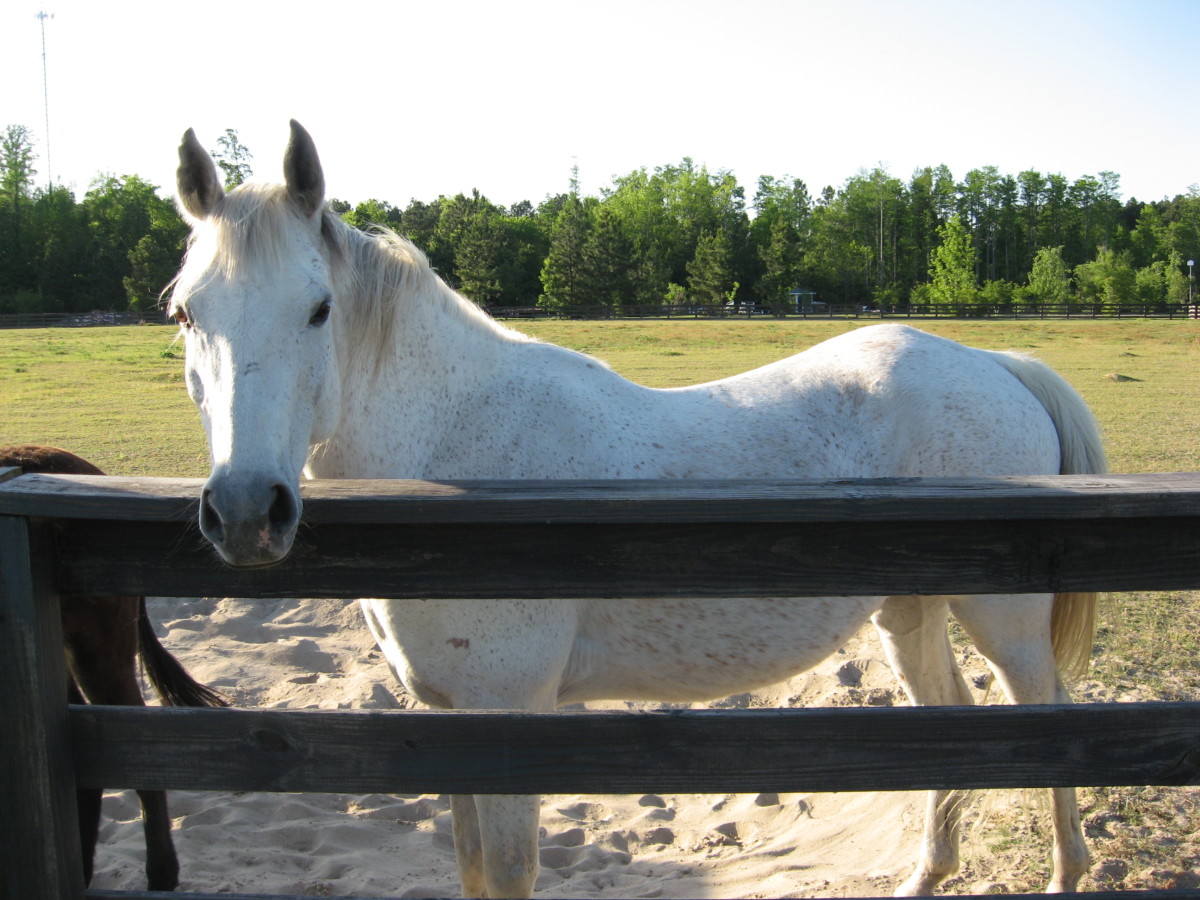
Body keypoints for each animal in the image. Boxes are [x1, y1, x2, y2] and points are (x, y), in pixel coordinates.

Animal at [169, 121, 1104, 900]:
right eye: (184, 313)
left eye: (318, 308)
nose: (246, 511)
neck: (457, 451)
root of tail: (993, 363)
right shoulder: (451, 724)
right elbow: (472, 869)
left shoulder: (510, 719)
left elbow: (507, 874)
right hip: (907, 613)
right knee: (951, 721)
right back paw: (926, 874)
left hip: (1005, 622)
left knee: (1049, 722)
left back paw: (1066, 874)